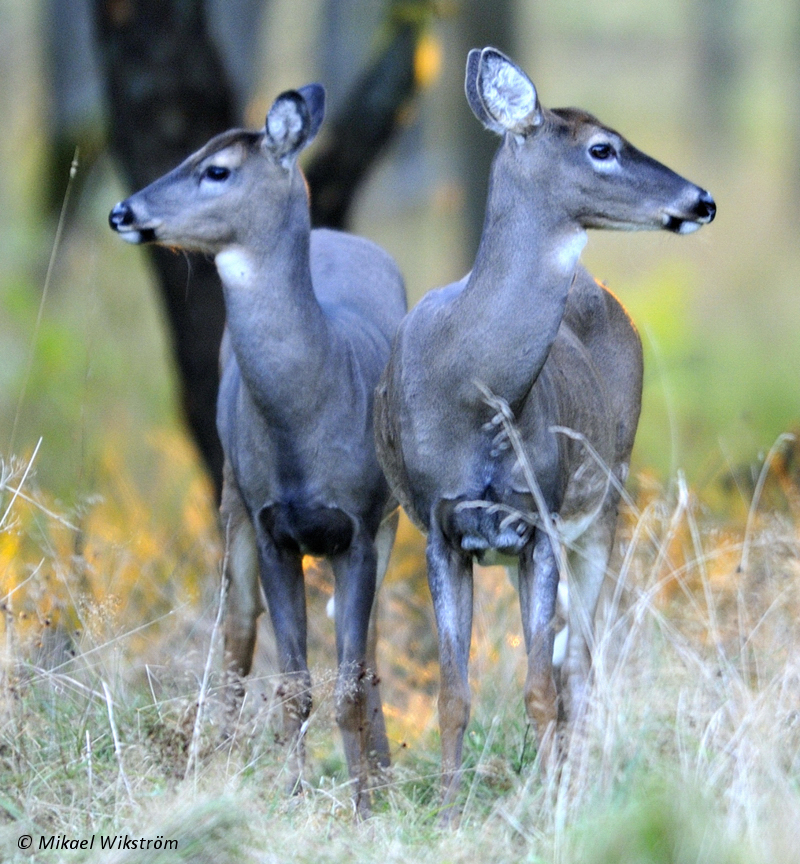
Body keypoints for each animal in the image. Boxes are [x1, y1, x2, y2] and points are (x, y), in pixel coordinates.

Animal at [107, 81, 410, 808]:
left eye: (217, 170)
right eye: (188, 152)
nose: (122, 211)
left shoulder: (360, 525)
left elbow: (346, 682)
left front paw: (363, 804)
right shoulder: (274, 526)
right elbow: (294, 684)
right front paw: (295, 794)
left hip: (390, 521)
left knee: (369, 651)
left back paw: (382, 771)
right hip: (230, 496)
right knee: (237, 635)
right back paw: (211, 760)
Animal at [372, 47, 716, 816]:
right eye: (602, 148)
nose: (701, 199)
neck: (472, 393)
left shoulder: (540, 521)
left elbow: (538, 688)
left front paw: (547, 808)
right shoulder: (439, 527)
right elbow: (453, 693)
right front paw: (448, 811)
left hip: (605, 504)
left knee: (581, 666)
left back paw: (574, 786)